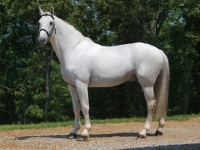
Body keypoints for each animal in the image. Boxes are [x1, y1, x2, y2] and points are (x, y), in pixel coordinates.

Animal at [37, 7, 169, 140]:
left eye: (51, 23)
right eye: (39, 22)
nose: (41, 40)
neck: (74, 50)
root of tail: (158, 51)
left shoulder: (81, 84)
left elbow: (85, 106)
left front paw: (85, 132)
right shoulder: (72, 86)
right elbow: (76, 108)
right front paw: (73, 132)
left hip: (147, 84)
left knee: (151, 104)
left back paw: (143, 132)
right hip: (154, 83)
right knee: (159, 103)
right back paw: (159, 129)